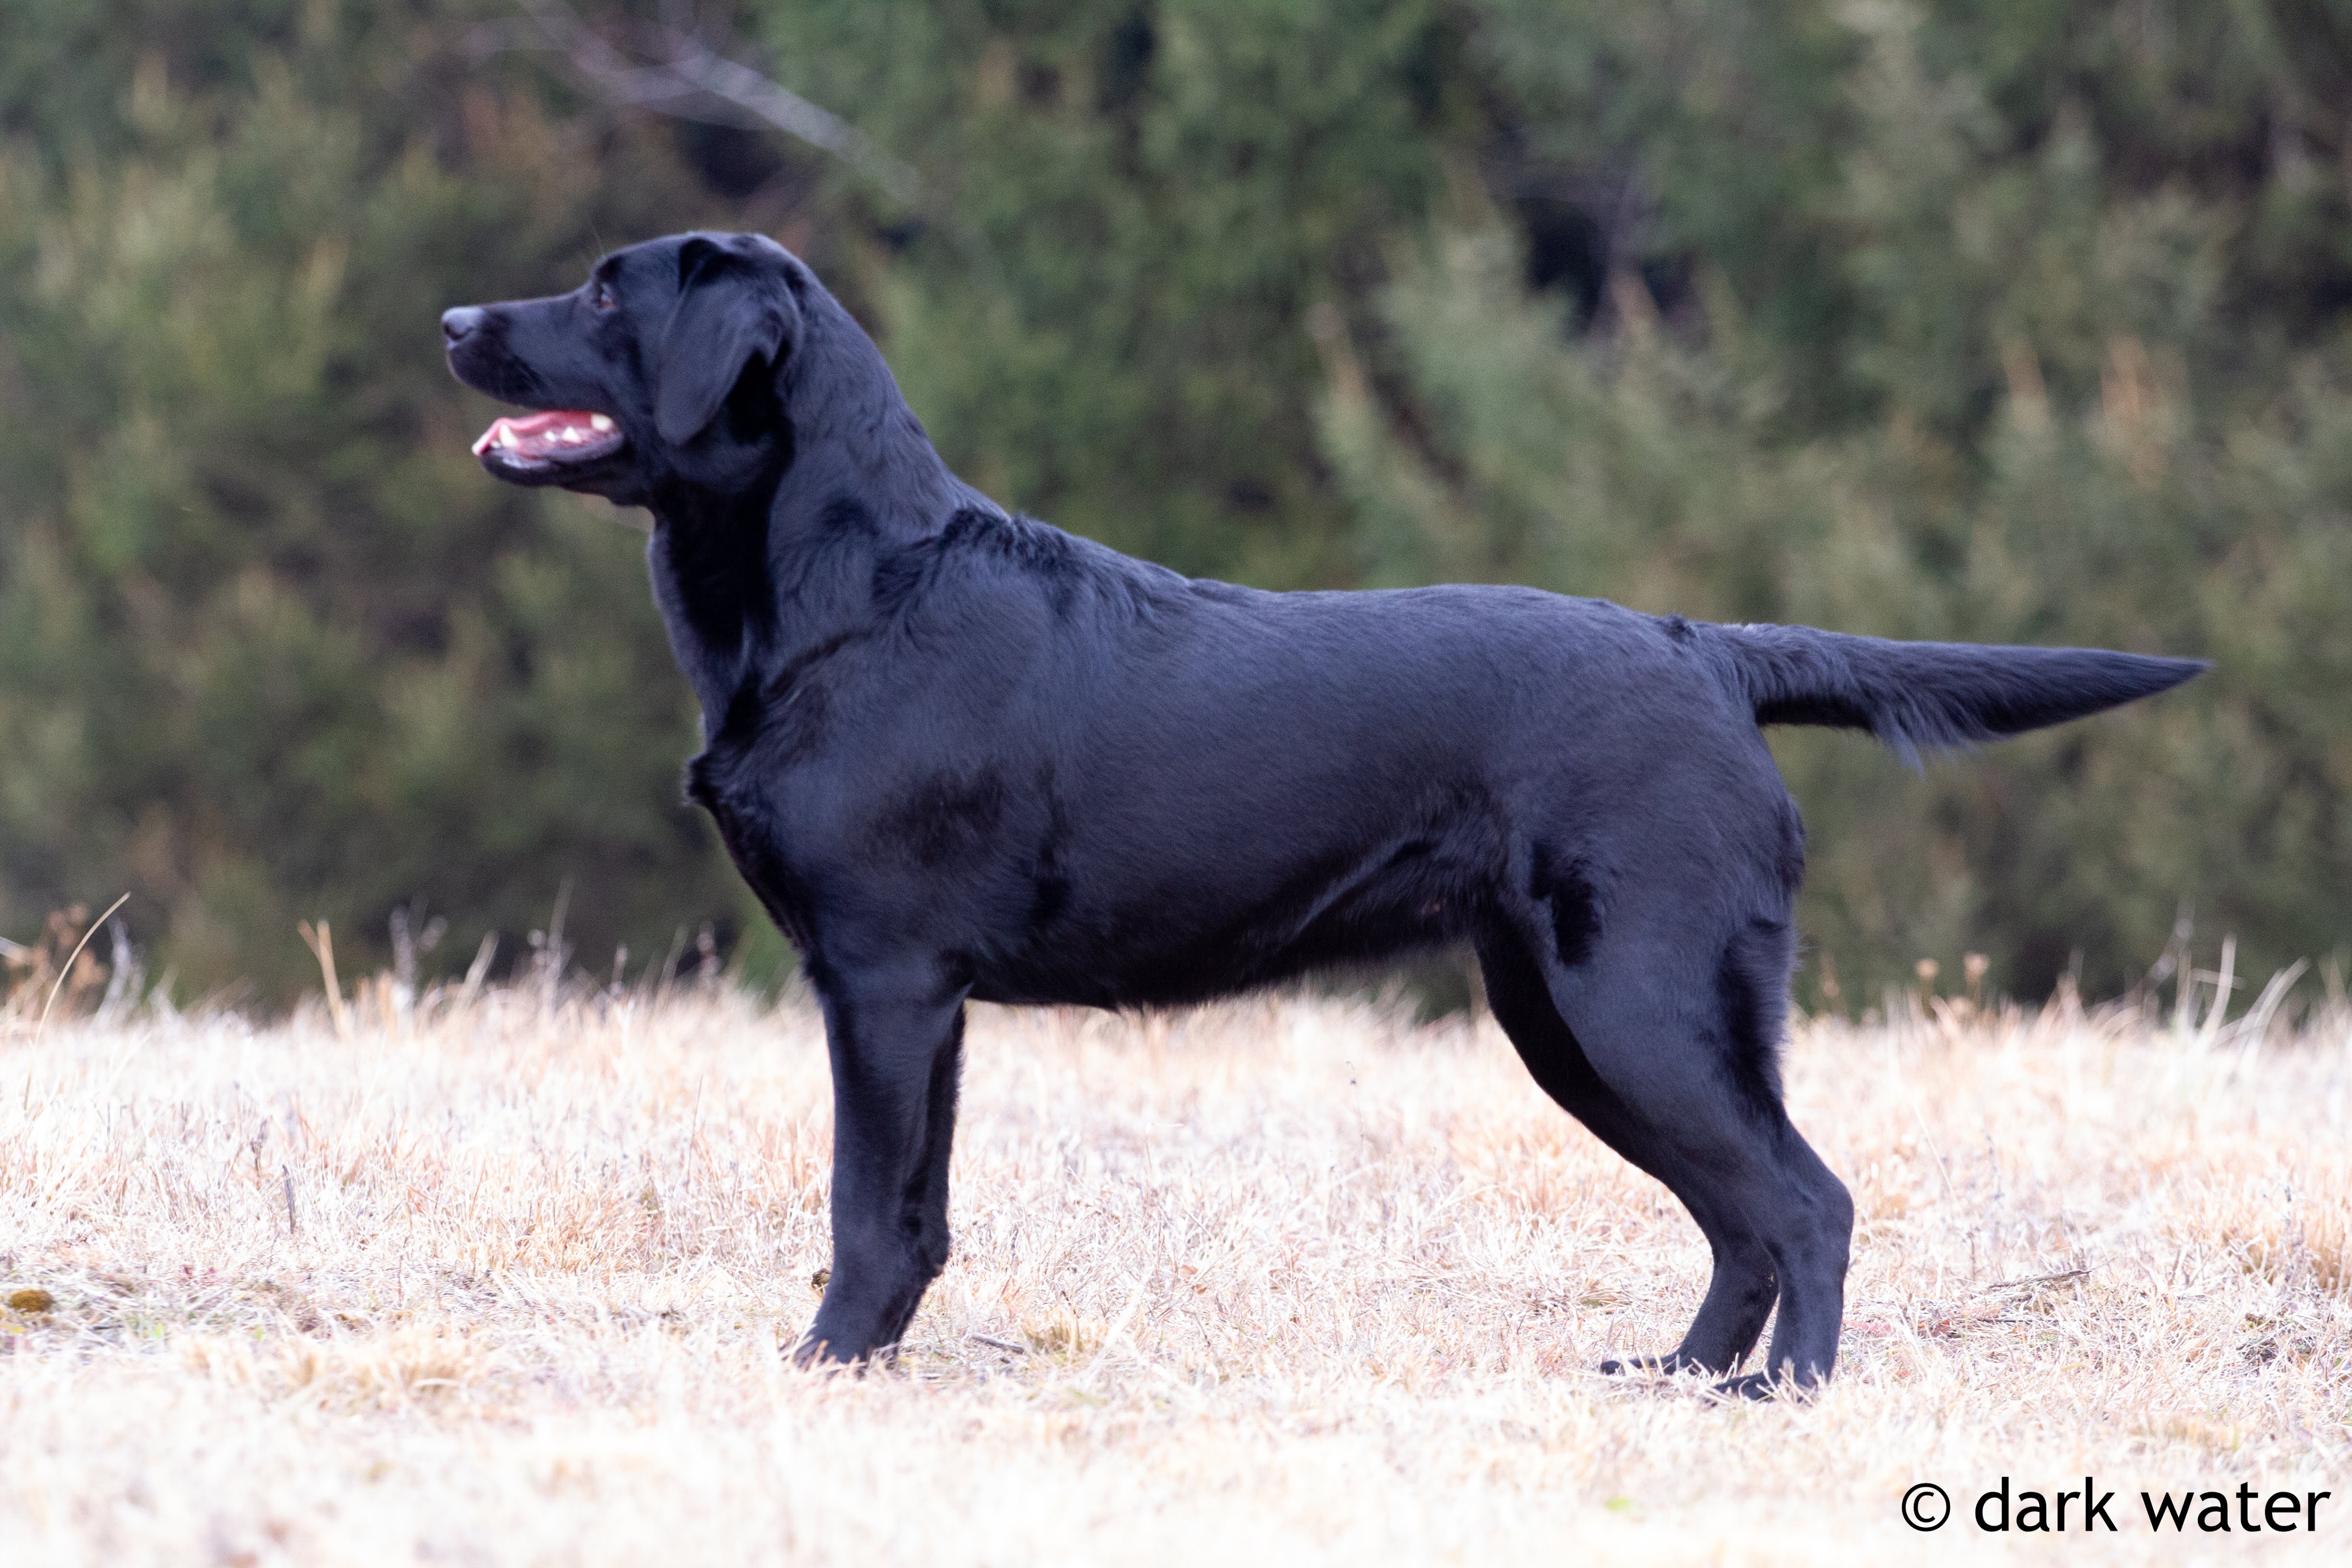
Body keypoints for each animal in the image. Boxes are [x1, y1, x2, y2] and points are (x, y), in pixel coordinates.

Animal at [444, 232, 2201, 1401]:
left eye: (605, 293)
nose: (456, 317)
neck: (845, 591)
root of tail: (1703, 648)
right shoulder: (920, 999)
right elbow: (920, 1210)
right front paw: (867, 1360)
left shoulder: (880, 979)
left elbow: (865, 1206)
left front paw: (819, 1362)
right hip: (1566, 1016)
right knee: (1743, 1219)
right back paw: (1677, 1376)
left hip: (1637, 995)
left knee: (1804, 1200)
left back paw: (1787, 1395)